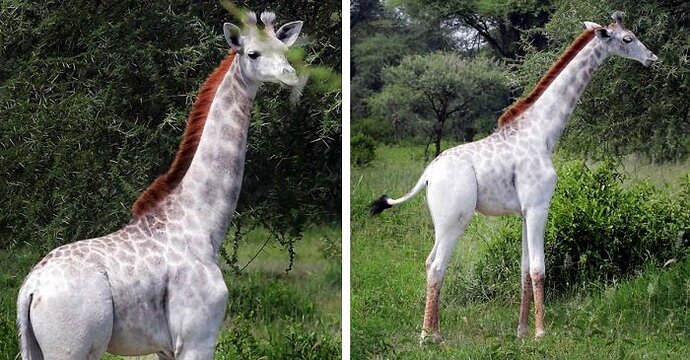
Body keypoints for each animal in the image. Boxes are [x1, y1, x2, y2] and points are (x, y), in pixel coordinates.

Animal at [15, 11, 300, 360]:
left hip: (37, 347)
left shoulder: (166, 346)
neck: (202, 223)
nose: (289, 76)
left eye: (284, 51)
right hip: (72, 348)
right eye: (253, 54)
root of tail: (30, 288)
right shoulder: (196, 338)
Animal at [368, 11, 660, 344]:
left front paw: (521, 331)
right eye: (628, 38)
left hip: (442, 221)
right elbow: (538, 268)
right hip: (454, 218)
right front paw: (541, 333)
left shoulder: (523, 212)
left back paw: (436, 332)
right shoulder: (538, 206)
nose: (652, 58)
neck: (542, 133)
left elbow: (522, 269)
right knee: (438, 265)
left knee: (431, 262)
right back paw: (427, 337)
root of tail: (428, 174)